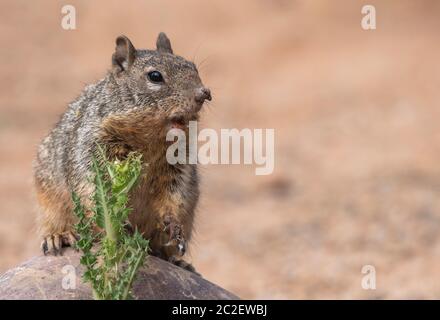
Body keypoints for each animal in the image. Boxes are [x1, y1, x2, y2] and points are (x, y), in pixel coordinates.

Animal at [32, 31, 211, 272]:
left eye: (193, 67)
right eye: (155, 76)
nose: (205, 93)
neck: (150, 142)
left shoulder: (178, 167)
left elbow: (175, 197)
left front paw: (174, 228)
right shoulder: (93, 150)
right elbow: (95, 191)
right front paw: (120, 224)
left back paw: (178, 261)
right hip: (49, 201)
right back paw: (59, 236)